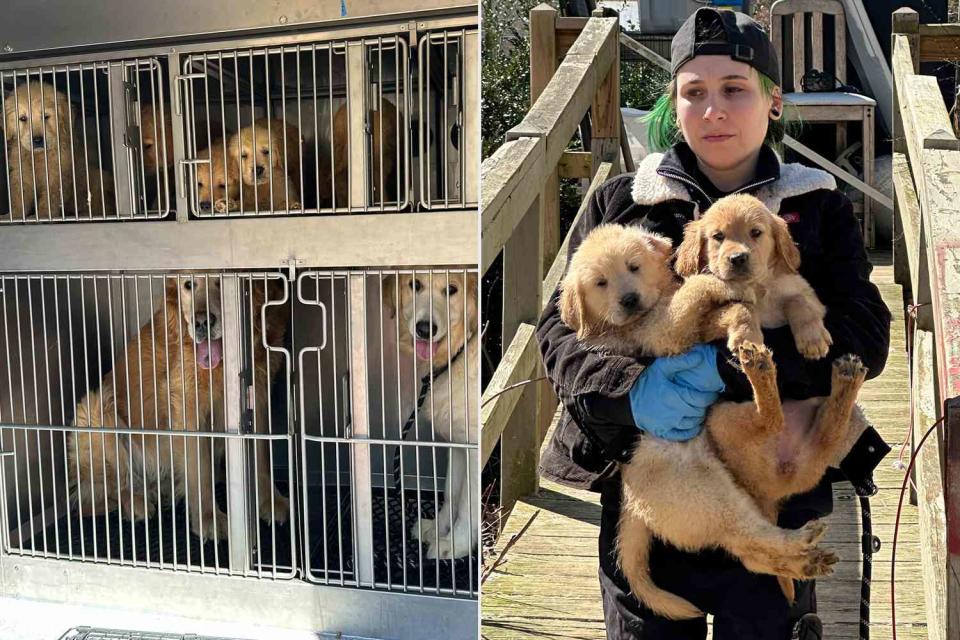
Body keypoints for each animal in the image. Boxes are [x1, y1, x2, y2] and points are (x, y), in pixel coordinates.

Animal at [68, 272, 288, 544]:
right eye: (189, 285)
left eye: (220, 283)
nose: (201, 322)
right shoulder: (187, 405)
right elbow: (199, 469)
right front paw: (209, 519)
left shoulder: (256, 393)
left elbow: (261, 455)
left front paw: (271, 501)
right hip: (96, 410)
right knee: (118, 485)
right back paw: (137, 503)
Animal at [384, 270, 478, 560]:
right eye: (415, 284)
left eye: (452, 289)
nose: (425, 329)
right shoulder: (458, 444)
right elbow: (450, 494)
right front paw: (438, 529)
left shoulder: (473, 448)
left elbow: (468, 504)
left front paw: (457, 544)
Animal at [676, 192, 832, 362]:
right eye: (718, 236)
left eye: (755, 232)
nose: (738, 258)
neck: (757, 286)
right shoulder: (703, 324)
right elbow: (741, 306)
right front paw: (747, 339)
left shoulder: (809, 296)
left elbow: (799, 302)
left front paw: (813, 338)